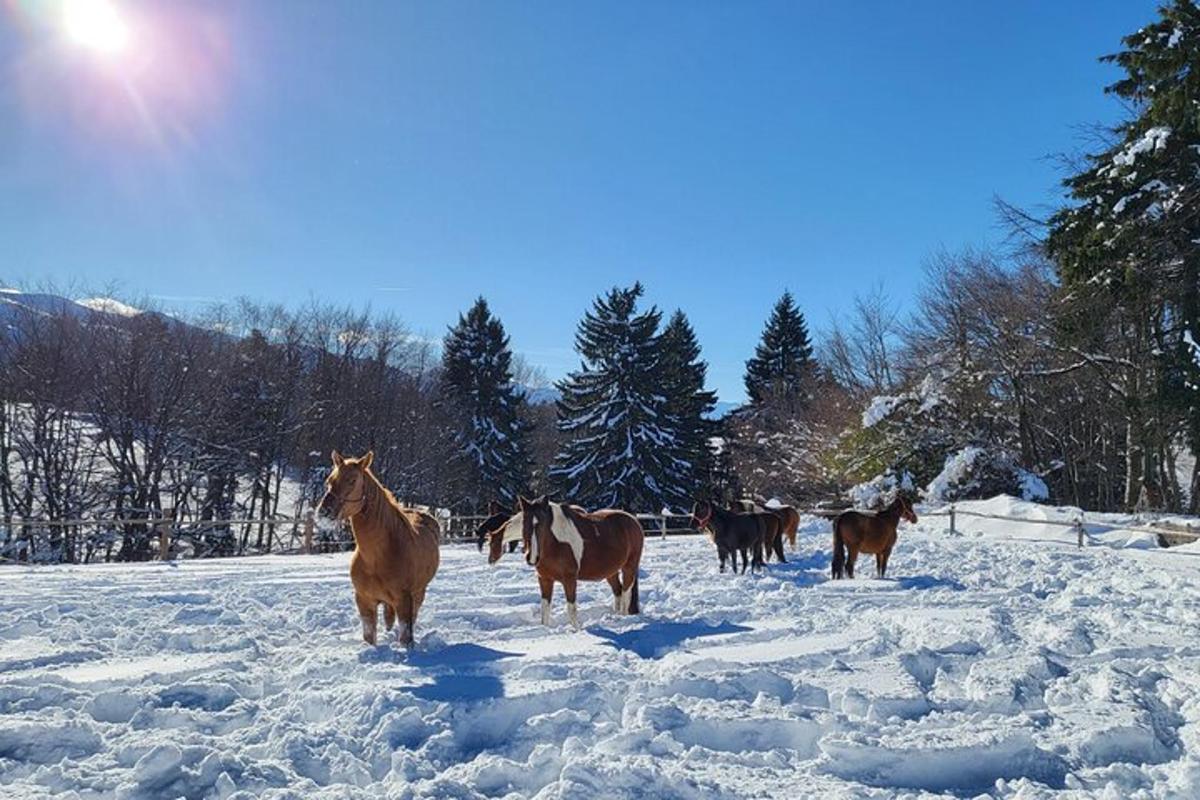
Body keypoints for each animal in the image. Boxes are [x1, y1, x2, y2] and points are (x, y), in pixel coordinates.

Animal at [319, 450, 441, 652]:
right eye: (329, 480)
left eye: (352, 480)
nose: (324, 511)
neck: (377, 557)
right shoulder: (364, 600)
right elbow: (369, 635)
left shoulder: (404, 600)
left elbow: (406, 635)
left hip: (419, 593)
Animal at [484, 494, 643, 633]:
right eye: (524, 524)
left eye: (542, 525)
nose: (532, 557)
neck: (555, 544)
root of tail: (634, 520)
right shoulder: (545, 579)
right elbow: (545, 610)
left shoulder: (570, 580)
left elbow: (571, 609)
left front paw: (577, 630)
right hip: (611, 572)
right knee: (618, 591)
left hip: (629, 567)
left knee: (626, 593)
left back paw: (623, 618)